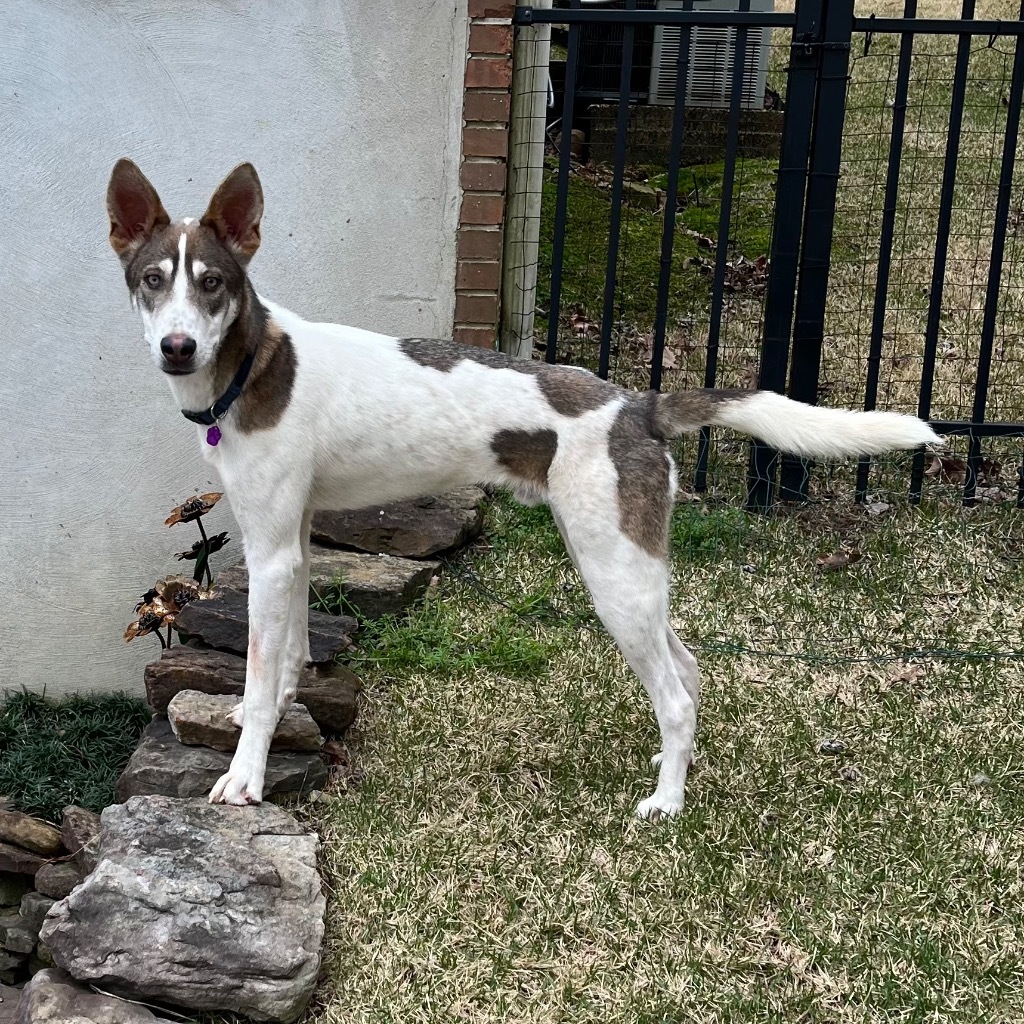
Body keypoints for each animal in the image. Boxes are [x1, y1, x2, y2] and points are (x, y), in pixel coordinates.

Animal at [105, 159, 942, 815]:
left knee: (674, 693)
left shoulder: (271, 551)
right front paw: (276, 713)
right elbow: (286, 663)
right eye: (152, 282)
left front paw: (245, 776)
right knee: (690, 668)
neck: (251, 364)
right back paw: (676, 766)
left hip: (612, 576)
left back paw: (667, 801)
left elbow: (256, 676)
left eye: (213, 284)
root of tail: (638, 405)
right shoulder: (297, 539)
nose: (177, 347)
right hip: (624, 563)